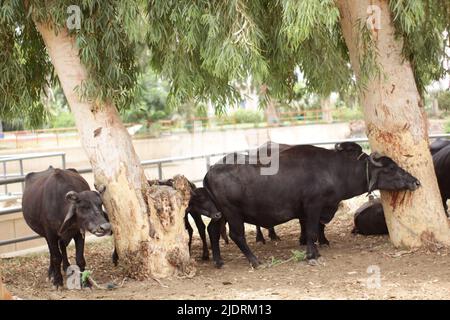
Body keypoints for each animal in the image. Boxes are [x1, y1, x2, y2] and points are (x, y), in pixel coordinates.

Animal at [204, 142, 422, 268]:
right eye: (391, 168)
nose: (415, 182)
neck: (335, 170)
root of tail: (210, 172)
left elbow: (315, 231)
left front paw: (315, 251)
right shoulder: (313, 206)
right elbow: (311, 232)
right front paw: (312, 255)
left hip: (220, 214)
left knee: (212, 230)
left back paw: (218, 261)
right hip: (232, 213)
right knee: (236, 235)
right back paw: (255, 261)